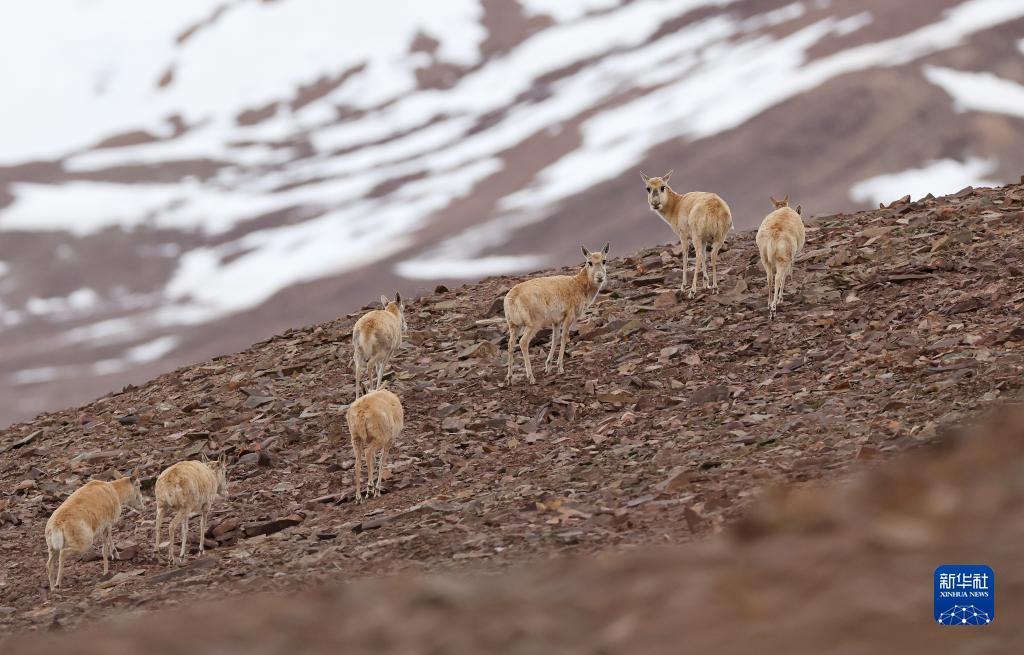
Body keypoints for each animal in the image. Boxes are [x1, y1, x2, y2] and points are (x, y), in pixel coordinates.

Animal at [503, 241, 606, 384]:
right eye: (589, 262)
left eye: (604, 260)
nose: (600, 277)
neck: (578, 285)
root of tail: (512, 297)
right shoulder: (569, 317)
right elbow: (564, 337)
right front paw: (560, 367)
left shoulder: (556, 321)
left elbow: (555, 338)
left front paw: (548, 366)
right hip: (533, 324)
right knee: (523, 342)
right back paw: (531, 377)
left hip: (514, 326)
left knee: (510, 344)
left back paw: (509, 378)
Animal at [643, 168, 733, 296]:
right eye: (648, 188)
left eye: (662, 186)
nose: (655, 203)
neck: (677, 205)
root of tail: (714, 206)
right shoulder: (704, 240)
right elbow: (705, 256)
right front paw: (706, 284)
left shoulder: (683, 236)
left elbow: (685, 257)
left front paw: (683, 286)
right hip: (719, 238)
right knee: (712, 255)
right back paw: (715, 288)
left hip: (696, 236)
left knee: (698, 256)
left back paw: (692, 291)